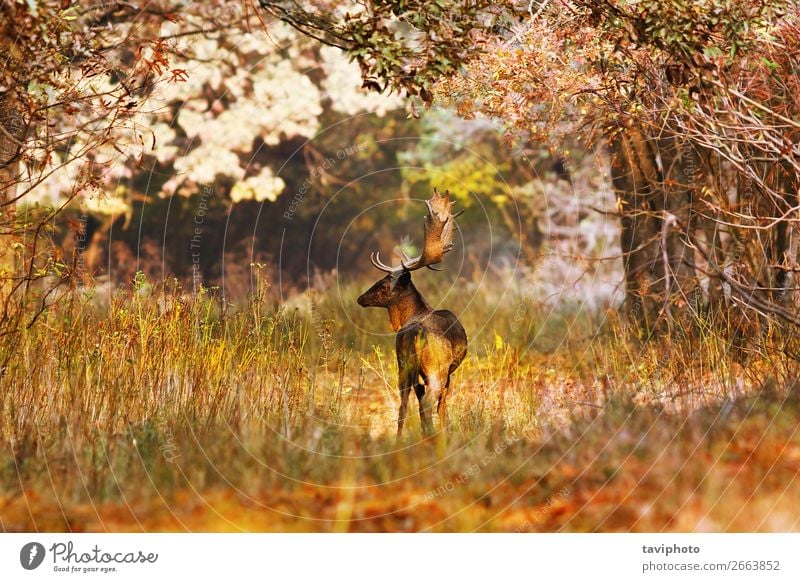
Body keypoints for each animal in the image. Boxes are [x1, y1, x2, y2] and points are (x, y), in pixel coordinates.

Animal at [358, 189, 468, 440]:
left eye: (382, 285)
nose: (360, 298)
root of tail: (415, 333)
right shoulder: (448, 372)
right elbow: (442, 406)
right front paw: (447, 433)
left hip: (403, 365)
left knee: (404, 402)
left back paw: (402, 438)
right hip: (436, 367)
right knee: (427, 402)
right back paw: (431, 437)